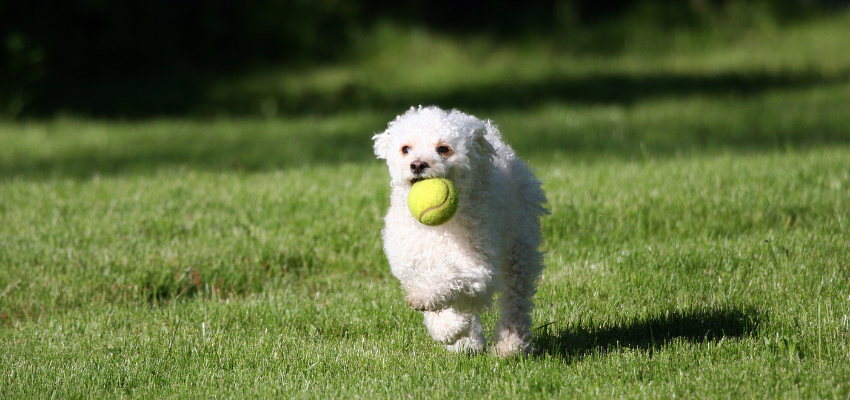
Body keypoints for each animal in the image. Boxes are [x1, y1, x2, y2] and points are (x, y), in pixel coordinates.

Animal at [372, 106, 548, 356]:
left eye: (443, 149)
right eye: (405, 149)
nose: (417, 164)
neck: (438, 230)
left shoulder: (479, 269)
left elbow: (449, 282)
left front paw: (446, 322)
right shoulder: (413, 265)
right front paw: (453, 331)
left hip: (519, 247)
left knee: (516, 298)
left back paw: (510, 345)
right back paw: (469, 342)